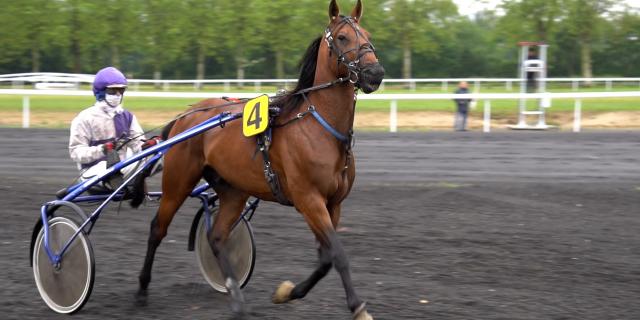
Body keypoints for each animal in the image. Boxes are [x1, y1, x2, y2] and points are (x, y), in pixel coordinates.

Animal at [134, 1, 382, 318]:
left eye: (368, 34)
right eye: (342, 37)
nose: (375, 72)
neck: (319, 128)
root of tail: (186, 114)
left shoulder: (333, 204)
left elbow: (325, 258)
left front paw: (288, 292)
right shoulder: (309, 200)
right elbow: (337, 254)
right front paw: (357, 305)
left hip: (233, 190)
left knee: (216, 237)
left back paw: (237, 298)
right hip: (178, 182)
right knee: (158, 228)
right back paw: (142, 289)